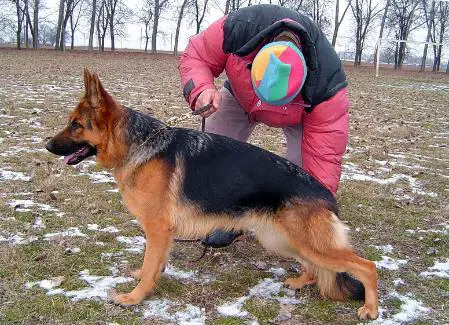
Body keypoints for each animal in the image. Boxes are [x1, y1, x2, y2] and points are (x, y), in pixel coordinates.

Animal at [45, 69, 376, 318]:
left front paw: (134, 297)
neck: (140, 144)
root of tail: (326, 195)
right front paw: (144, 279)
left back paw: (371, 309)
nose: (47, 145)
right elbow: (153, 264)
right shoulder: (162, 235)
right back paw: (299, 282)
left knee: (366, 267)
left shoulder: (157, 229)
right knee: (315, 267)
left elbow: (151, 265)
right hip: (283, 239)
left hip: (307, 242)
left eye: (75, 125)